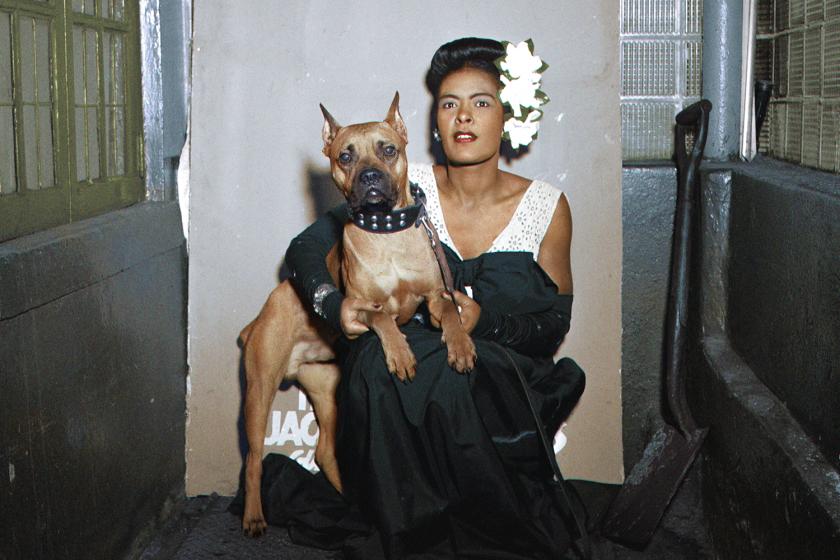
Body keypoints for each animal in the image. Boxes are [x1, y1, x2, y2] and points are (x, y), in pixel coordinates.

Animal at [239, 92, 476, 537]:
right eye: (345, 156)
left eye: (388, 150)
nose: (368, 176)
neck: (388, 234)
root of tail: (262, 314)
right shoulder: (357, 310)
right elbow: (381, 318)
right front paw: (399, 354)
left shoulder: (436, 297)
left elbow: (452, 315)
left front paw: (460, 346)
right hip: (259, 392)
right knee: (253, 458)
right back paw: (254, 515)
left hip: (328, 393)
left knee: (325, 451)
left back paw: (353, 501)